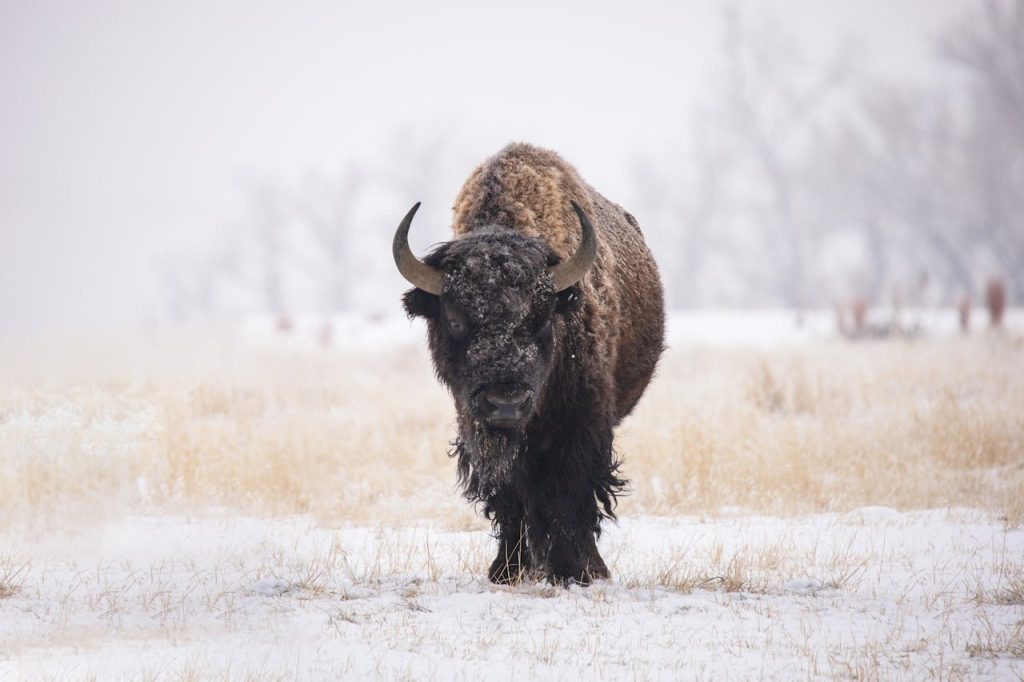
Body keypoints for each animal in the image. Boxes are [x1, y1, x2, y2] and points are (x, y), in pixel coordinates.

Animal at [394, 143, 664, 585]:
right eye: (455, 319)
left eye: (541, 317)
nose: (506, 403)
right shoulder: (477, 426)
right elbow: (510, 496)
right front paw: (506, 570)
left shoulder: (583, 423)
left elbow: (572, 491)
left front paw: (577, 570)